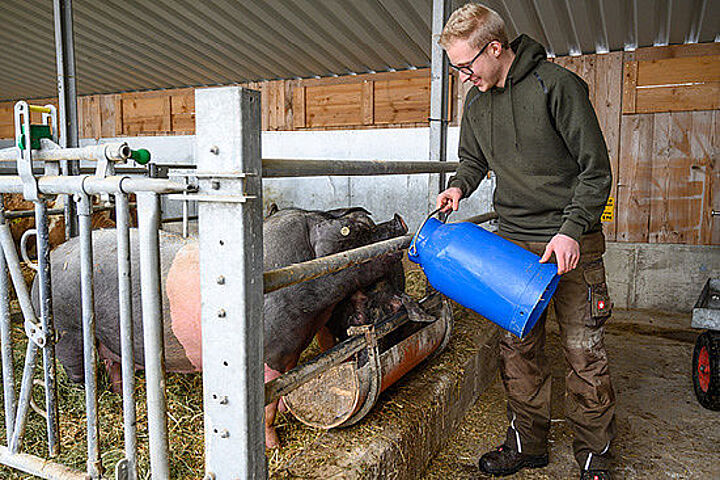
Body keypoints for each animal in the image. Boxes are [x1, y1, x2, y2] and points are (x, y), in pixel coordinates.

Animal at [36, 207, 408, 450]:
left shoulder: (290, 352)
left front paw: (286, 413)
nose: (400, 220)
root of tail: (54, 256)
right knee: (76, 371)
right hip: (69, 329)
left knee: (113, 363)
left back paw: (118, 393)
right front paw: (273, 446)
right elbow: (267, 406)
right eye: (358, 231)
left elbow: (285, 389)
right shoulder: (269, 353)